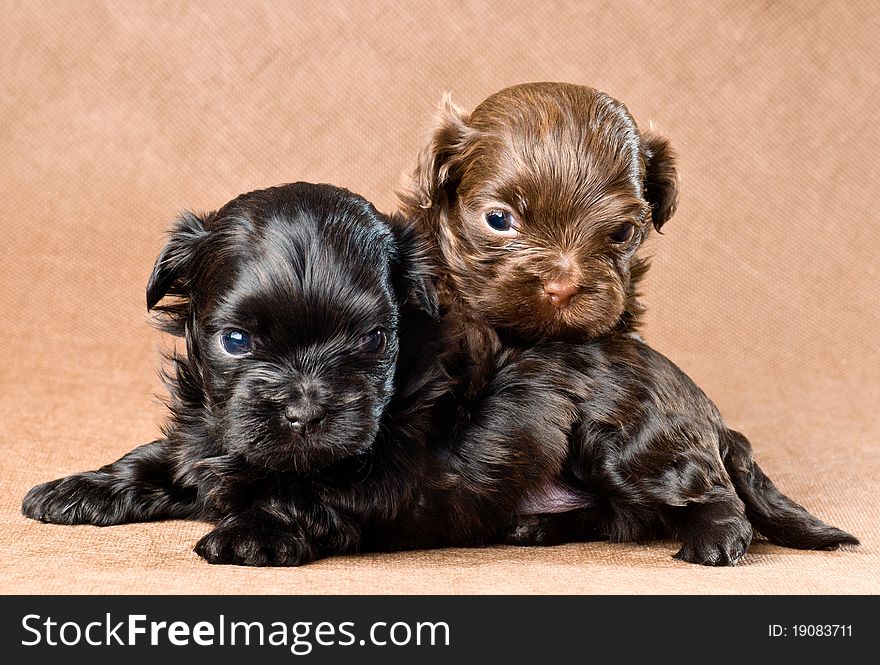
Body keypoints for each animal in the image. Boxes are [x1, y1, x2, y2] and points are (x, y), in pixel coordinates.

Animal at [23, 183, 450, 564]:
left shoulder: (388, 472)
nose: (305, 415)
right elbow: (170, 455)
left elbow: (303, 493)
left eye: (374, 339)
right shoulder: (205, 433)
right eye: (235, 340)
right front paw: (84, 486)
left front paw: (251, 534)